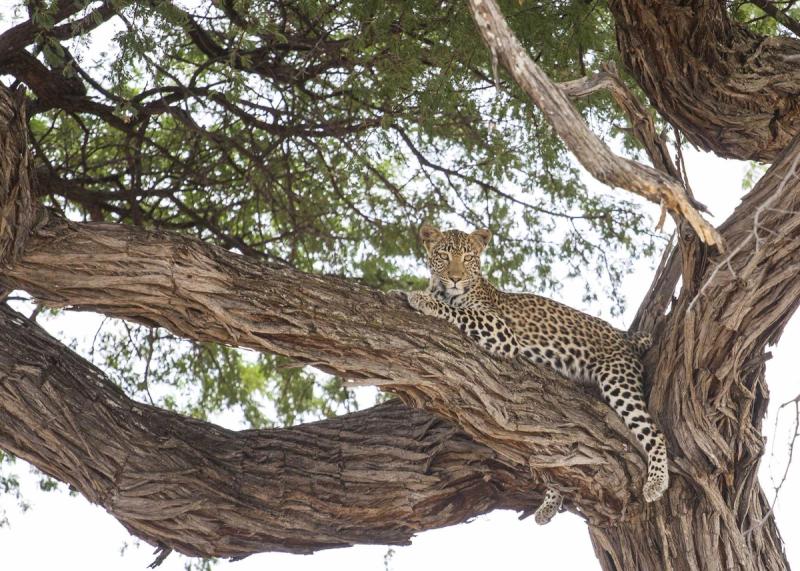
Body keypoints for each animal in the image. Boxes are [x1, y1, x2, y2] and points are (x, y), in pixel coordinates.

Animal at [401, 224, 668, 525]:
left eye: (468, 257)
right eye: (444, 256)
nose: (455, 279)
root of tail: (624, 338)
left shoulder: (500, 330)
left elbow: (459, 311)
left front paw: (422, 298)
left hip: (617, 379)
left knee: (654, 432)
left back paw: (656, 482)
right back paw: (550, 503)